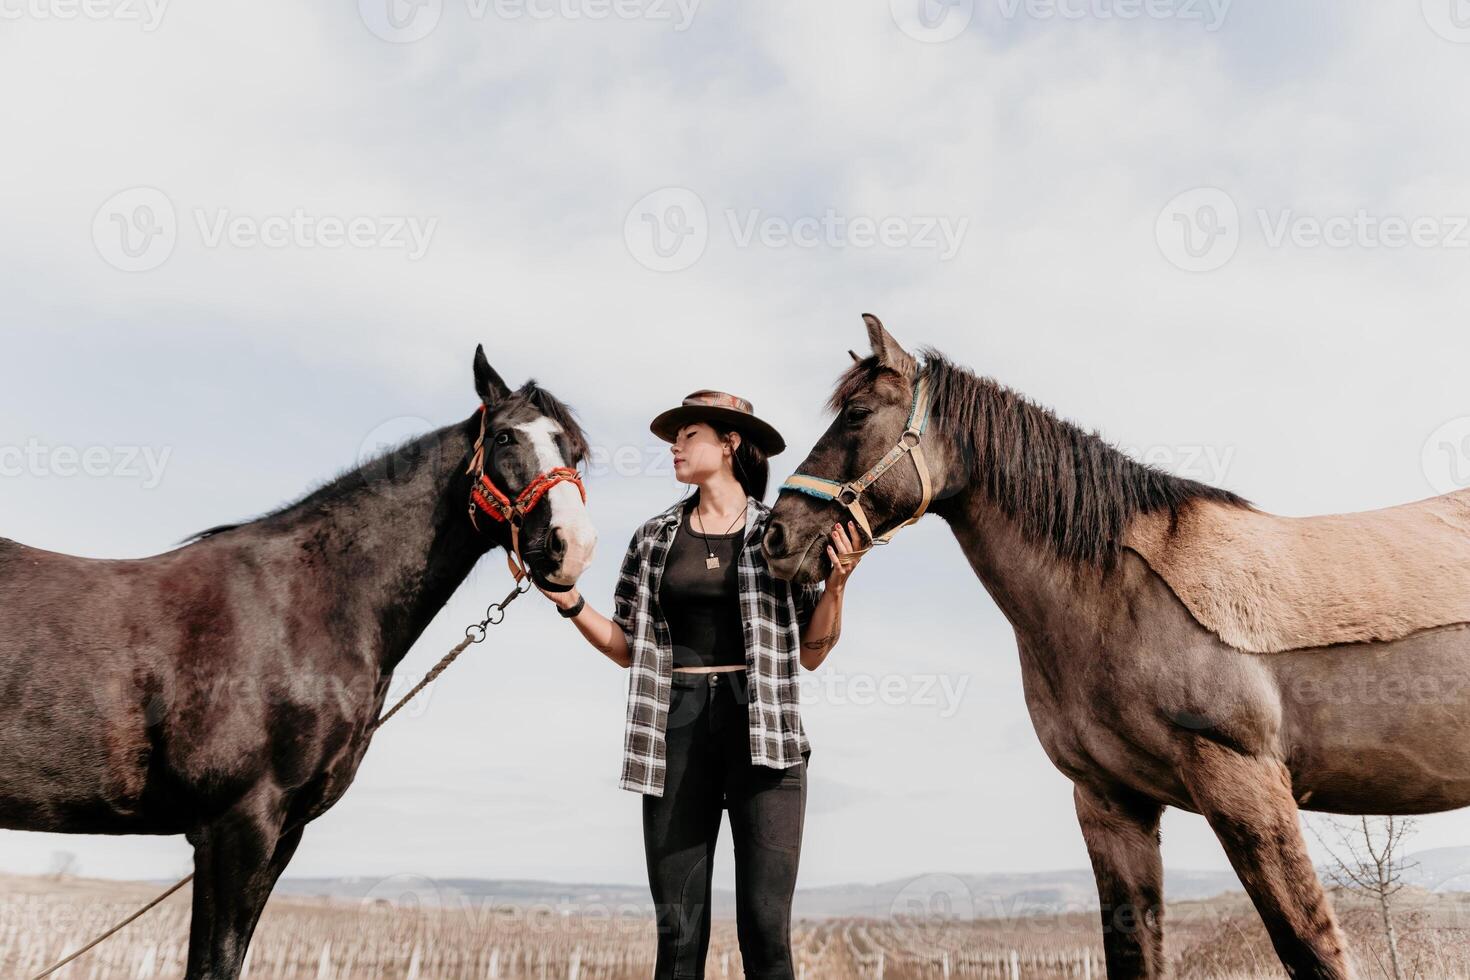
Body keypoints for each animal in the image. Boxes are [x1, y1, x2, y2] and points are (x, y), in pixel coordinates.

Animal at [2, 346, 596, 980]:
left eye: (574, 449)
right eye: (506, 436)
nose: (571, 545)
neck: (300, 606)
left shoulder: (285, 832)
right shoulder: (236, 825)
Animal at [764, 315, 1470, 980]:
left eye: (858, 414)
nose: (776, 536)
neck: (1113, 594)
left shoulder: (1245, 783)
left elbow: (1312, 949)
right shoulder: (1109, 804)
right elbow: (1132, 954)